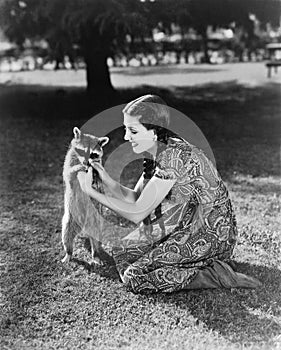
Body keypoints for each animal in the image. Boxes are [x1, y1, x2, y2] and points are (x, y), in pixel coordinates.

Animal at [61, 127, 109, 264]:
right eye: (82, 151)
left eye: (93, 154)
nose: (86, 163)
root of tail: (83, 226)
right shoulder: (68, 162)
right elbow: (69, 174)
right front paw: (78, 167)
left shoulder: (98, 166)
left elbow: (99, 182)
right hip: (71, 218)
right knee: (66, 234)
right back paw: (68, 253)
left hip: (95, 220)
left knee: (96, 237)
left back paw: (95, 253)